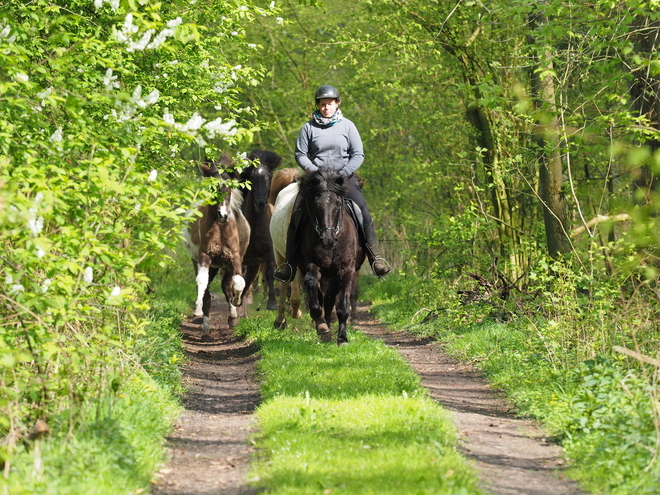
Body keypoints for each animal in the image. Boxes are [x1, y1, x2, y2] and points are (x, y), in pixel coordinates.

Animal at [180, 163, 250, 340]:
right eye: (213, 188)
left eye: (229, 188)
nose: (223, 215)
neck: (220, 229)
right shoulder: (205, 257)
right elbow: (202, 284)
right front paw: (198, 309)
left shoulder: (235, 258)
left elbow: (238, 283)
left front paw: (236, 302)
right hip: (201, 263)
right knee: (206, 290)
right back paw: (205, 329)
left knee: (226, 286)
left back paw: (232, 317)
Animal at [296, 170, 364, 344]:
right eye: (315, 204)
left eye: (338, 204)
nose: (327, 240)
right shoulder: (312, 265)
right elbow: (314, 292)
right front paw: (320, 325)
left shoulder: (346, 270)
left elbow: (342, 306)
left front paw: (342, 338)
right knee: (323, 297)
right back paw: (323, 326)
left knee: (329, 299)